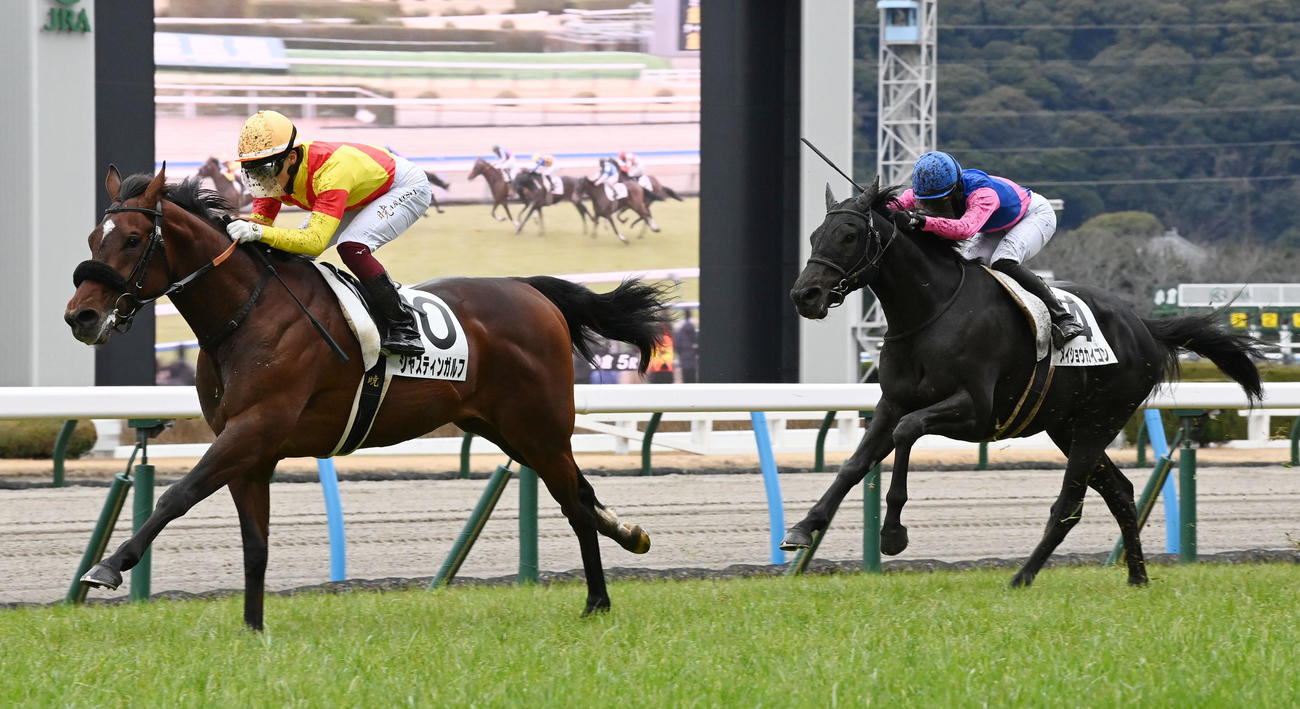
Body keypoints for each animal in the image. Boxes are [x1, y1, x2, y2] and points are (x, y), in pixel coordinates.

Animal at [65, 165, 672, 630]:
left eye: (133, 239)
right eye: (94, 238)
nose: (81, 316)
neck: (246, 315)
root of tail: (530, 289)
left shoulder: (255, 427)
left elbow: (177, 495)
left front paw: (107, 567)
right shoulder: (250, 450)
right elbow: (255, 545)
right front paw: (253, 630)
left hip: (539, 426)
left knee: (574, 503)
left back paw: (597, 601)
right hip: (508, 429)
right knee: (582, 492)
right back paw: (630, 535)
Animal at [782, 178, 1263, 588]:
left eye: (848, 235)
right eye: (814, 236)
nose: (805, 295)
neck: (931, 311)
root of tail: (1144, 326)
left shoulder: (975, 411)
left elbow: (907, 432)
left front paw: (893, 533)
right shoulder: (892, 402)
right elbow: (854, 463)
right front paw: (803, 528)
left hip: (1100, 421)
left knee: (1069, 504)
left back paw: (1023, 576)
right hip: (1067, 427)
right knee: (1121, 492)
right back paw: (1137, 576)